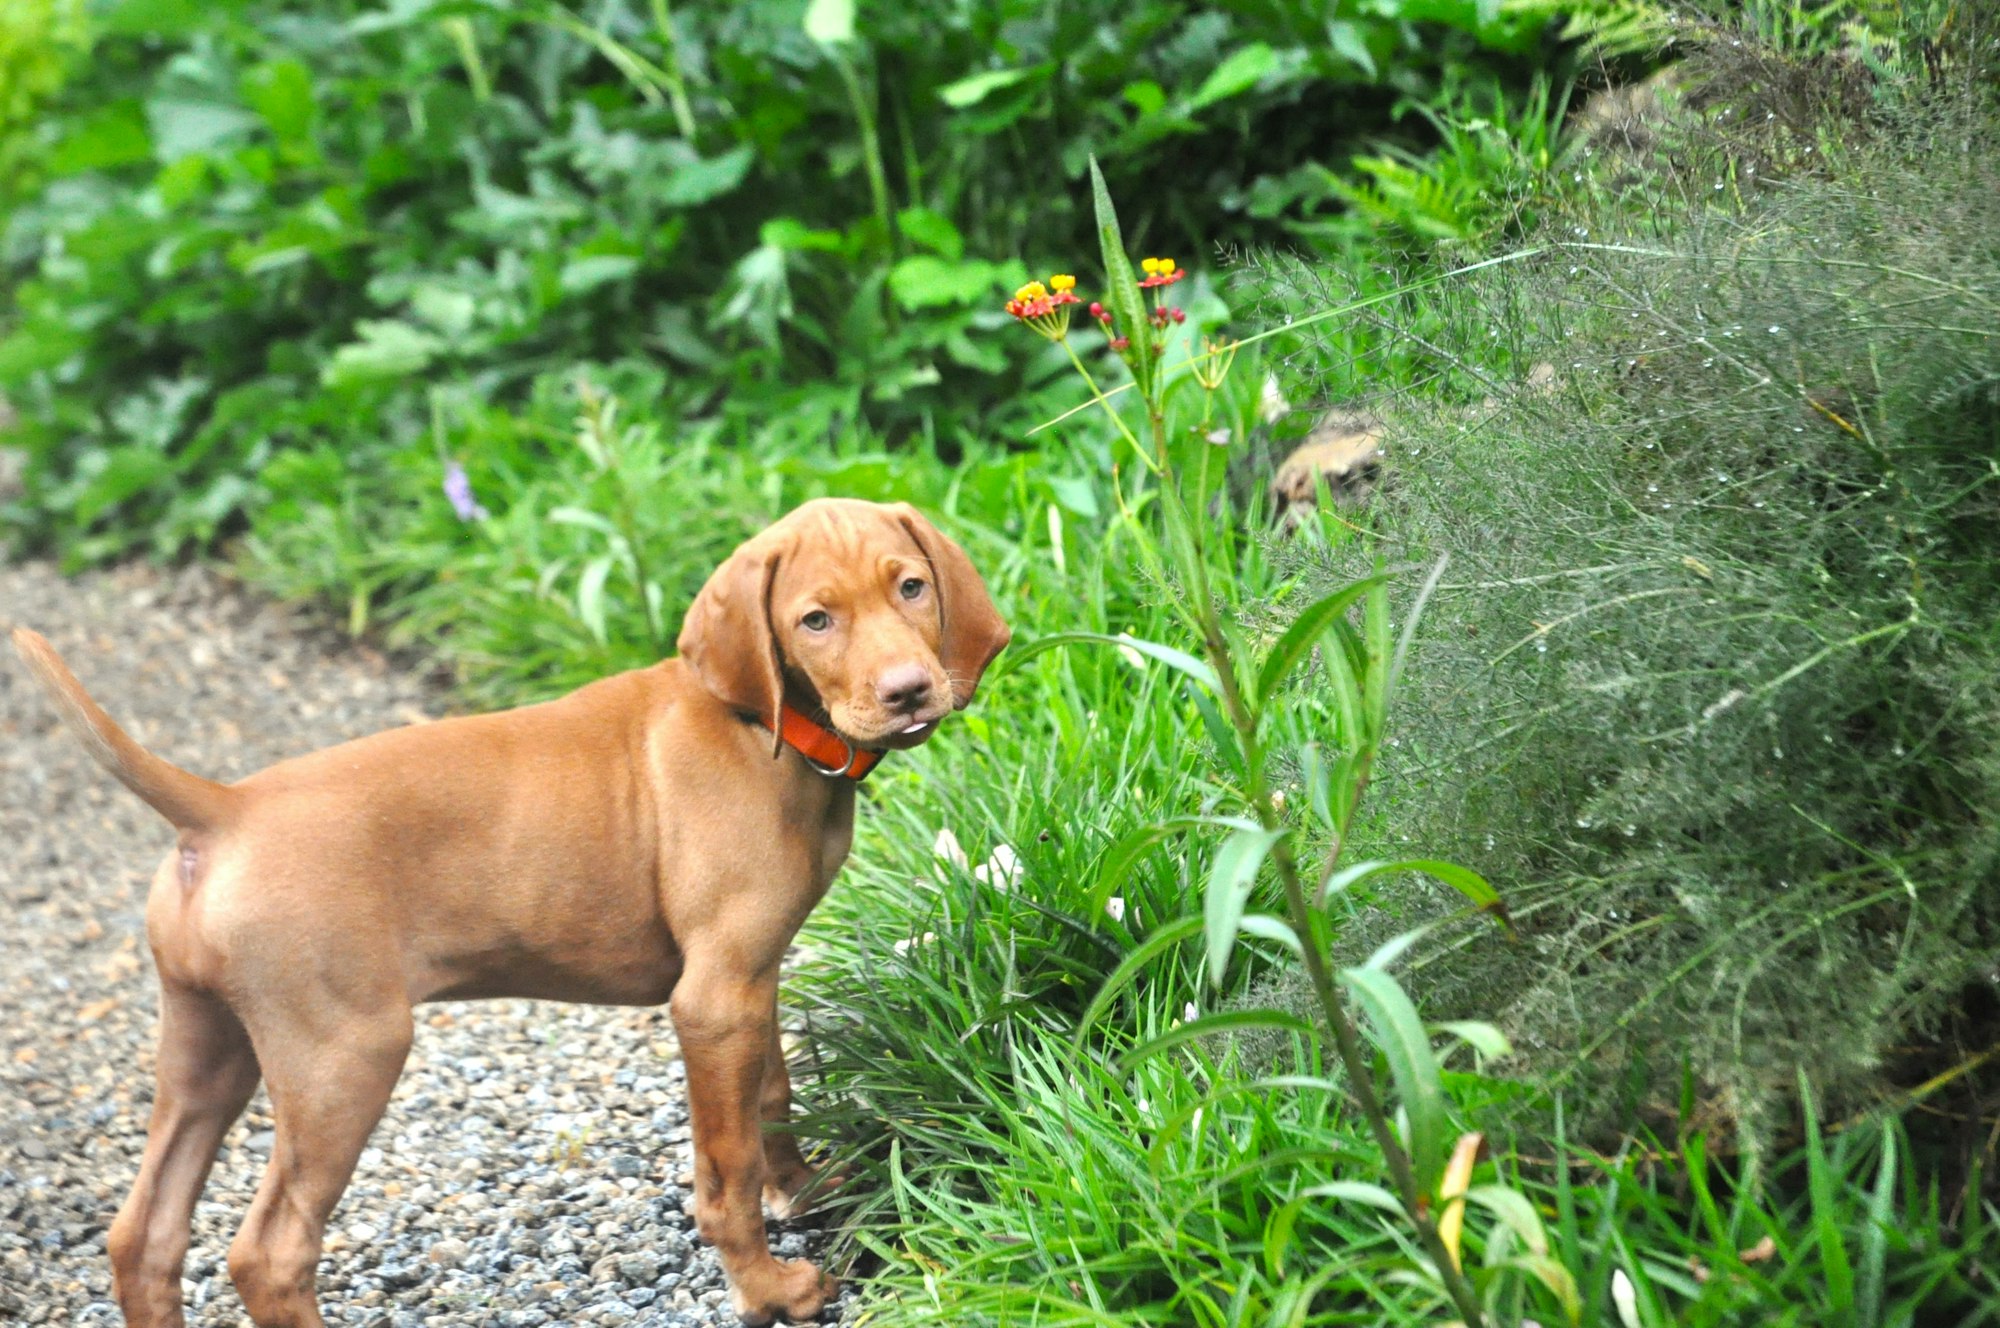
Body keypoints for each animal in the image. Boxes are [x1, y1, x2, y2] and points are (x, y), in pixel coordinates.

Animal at [11, 498, 1016, 1328]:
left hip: (207, 1042)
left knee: (143, 1235)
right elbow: (725, 1170)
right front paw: (770, 1290)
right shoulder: (713, 997)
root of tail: (223, 808)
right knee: (268, 1252)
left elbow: (771, 1100)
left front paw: (803, 1193)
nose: (909, 690)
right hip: (343, 1053)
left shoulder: (748, 979)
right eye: (816, 619)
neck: (758, 727)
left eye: (912, 587)